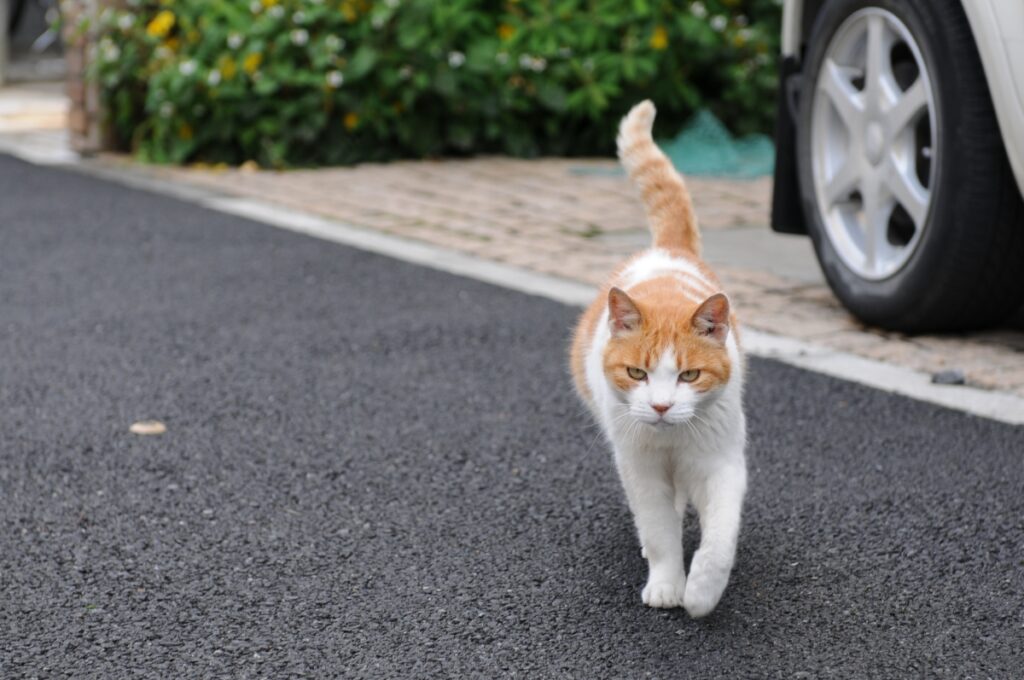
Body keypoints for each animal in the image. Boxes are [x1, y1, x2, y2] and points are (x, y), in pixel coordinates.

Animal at [569, 100, 745, 614]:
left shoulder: (722, 463)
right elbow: (660, 531)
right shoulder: (640, 470)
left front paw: (702, 592)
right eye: (636, 373)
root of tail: (669, 250)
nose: (663, 406)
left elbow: (720, 536)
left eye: (689, 375)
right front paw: (668, 584)